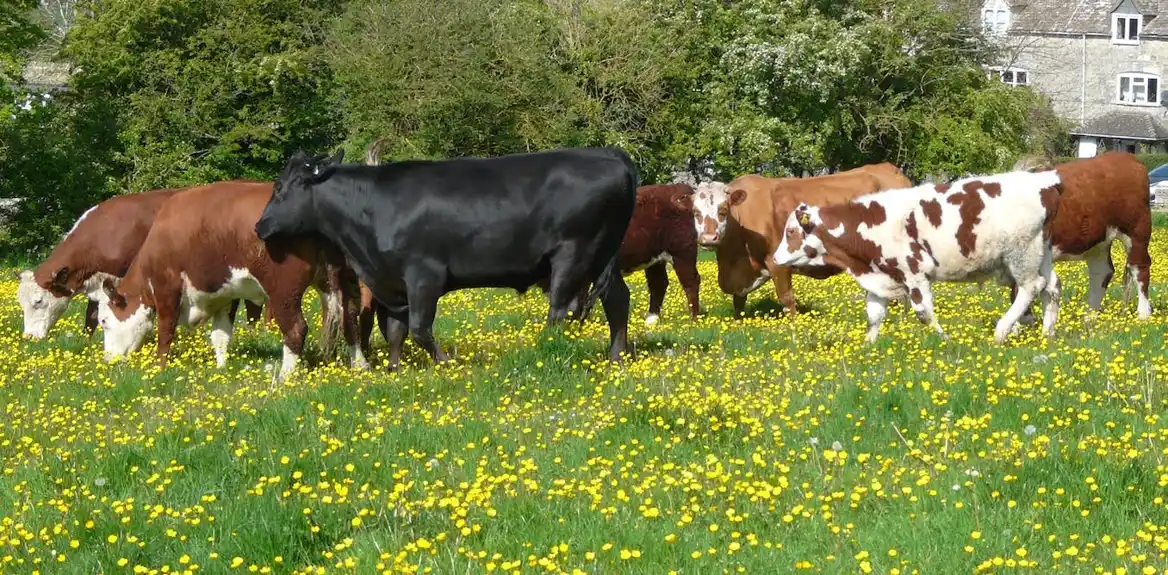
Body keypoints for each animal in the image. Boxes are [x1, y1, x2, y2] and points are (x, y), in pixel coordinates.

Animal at [96, 179, 364, 376]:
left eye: (104, 321)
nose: (107, 359)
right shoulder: (225, 294)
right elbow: (221, 335)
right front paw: (221, 367)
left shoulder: (166, 288)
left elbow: (165, 331)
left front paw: (158, 369)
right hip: (342, 278)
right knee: (349, 318)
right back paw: (360, 365)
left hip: (283, 289)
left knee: (296, 329)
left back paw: (284, 377)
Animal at [255, 146, 640, 366]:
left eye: (280, 188)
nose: (260, 226)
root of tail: (607, 153)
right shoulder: (392, 282)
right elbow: (395, 331)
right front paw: (394, 370)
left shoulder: (424, 275)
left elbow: (419, 329)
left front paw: (446, 363)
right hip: (603, 254)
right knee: (617, 299)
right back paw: (616, 357)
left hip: (573, 253)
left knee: (561, 311)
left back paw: (546, 350)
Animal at [682, 162, 911, 317]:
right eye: (695, 212)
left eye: (723, 210)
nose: (709, 238)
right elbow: (738, 302)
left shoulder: (777, 261)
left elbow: (786, 298)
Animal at [770, 169, 1065, 341]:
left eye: (792, 231)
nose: (775, 258)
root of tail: (1045, 184)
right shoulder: (880, 276)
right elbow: (873, 315)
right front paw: (868, 349)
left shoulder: (914, 273)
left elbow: (923, 312)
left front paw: (943, 340)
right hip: (1041, 252)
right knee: (1052, 286)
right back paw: (1047, 333)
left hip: (1021, 253)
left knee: (1031, 287)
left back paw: (1001, 330)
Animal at [1009, 153, 1153, 320]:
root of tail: (1127, 157)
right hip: (1099, 241)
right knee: (1101, 272)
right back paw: (1089, 317)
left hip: (1137, 231)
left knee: (1139, 267)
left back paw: (1143, 314)